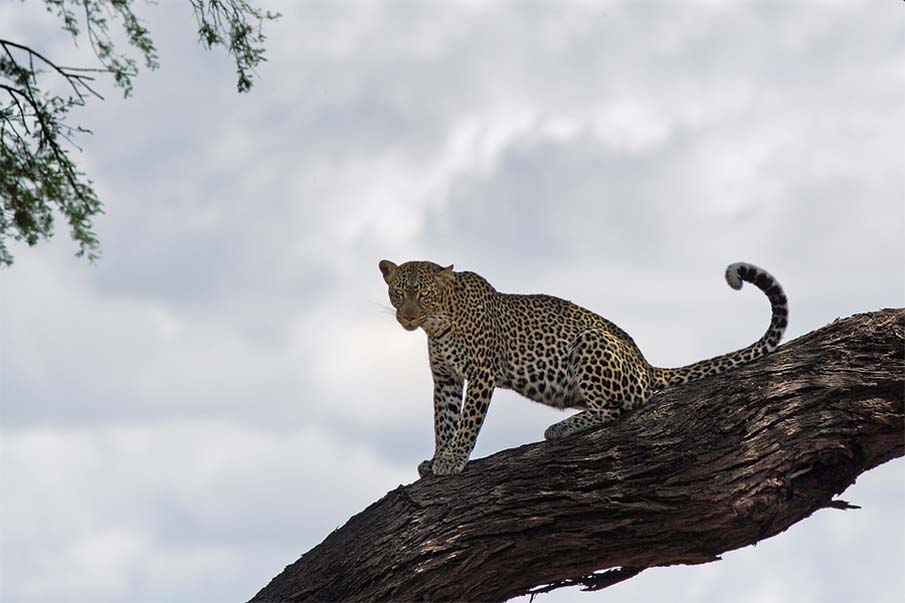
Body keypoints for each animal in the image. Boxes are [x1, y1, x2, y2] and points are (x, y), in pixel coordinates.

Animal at [378, 260, 788, 476]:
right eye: (398, 293)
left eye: (423, 294)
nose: (407, 317)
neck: (437, 324)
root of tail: (647, 365)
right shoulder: (445, 379)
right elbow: (443, 420)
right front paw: (437, 458)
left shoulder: (481, 373)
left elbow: (466, 423)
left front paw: (453, 459)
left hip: (590, 343)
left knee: (617, 407)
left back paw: (561, 428)